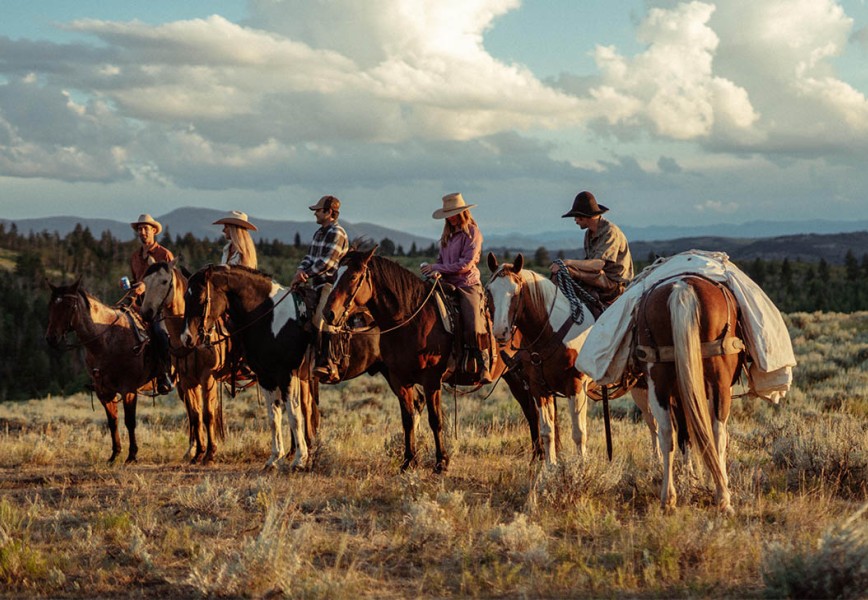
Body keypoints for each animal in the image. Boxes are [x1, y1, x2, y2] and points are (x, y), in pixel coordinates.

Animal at [45, 280, 156, 464]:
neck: (106, 341)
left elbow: (130, 421)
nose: (51, 338)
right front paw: (114, 455)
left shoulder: (128, 389)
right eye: (51, 305)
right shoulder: (104, 392)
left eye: (68, 305)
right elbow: (112, 422)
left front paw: (132, 455)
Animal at [139, 262, 229, 464]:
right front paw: (198, 453)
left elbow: (208, 414)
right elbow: (195, 415)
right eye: (145, 282)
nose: (147, 313)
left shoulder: (208, 378)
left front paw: (210, 453)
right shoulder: (187, 381)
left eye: (165, 281)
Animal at [181, 264, 386, 472]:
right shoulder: (266, 377)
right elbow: (274, 417)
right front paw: (274, 459)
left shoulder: (287, 375)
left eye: (200, 298)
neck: (269, 317)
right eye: (184, 299)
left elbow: (295, 415)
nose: (187, 338)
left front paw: (299, 460)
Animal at [636, 276, 744, 510]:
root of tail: (683, 288)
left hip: (658, 380)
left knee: (667, 434)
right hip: (720, 382)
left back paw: (668, 498)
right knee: (717, 433)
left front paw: (689, 478)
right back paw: (723, 496)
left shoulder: (678, 395)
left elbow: (685, 435)